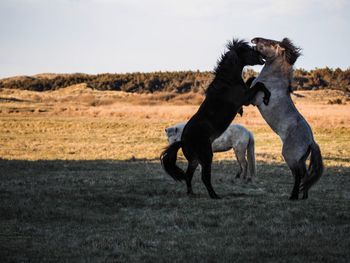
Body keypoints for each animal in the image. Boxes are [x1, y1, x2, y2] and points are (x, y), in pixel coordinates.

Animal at [160, 39, 270, 199]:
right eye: (249, 50)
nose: (261, 54)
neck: (227, 82)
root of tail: (184, 140)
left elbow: (252, 80)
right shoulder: (246, 98)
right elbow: (259, 84)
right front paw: (267, 97)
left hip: (195, 160)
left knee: (189, 175)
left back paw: (191, 193)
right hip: (207, 156)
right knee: (204, 177)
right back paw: (214, 195)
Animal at [252, 37, 322, 201]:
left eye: (270, 42)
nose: (254, 40)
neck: (274, 79)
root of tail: (311, 140)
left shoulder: (253, 98)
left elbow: (254, 83)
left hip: (289, 156)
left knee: (298, 175)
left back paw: (293, 196)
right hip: (300, 159)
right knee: (305, 175)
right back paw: (303, 196)